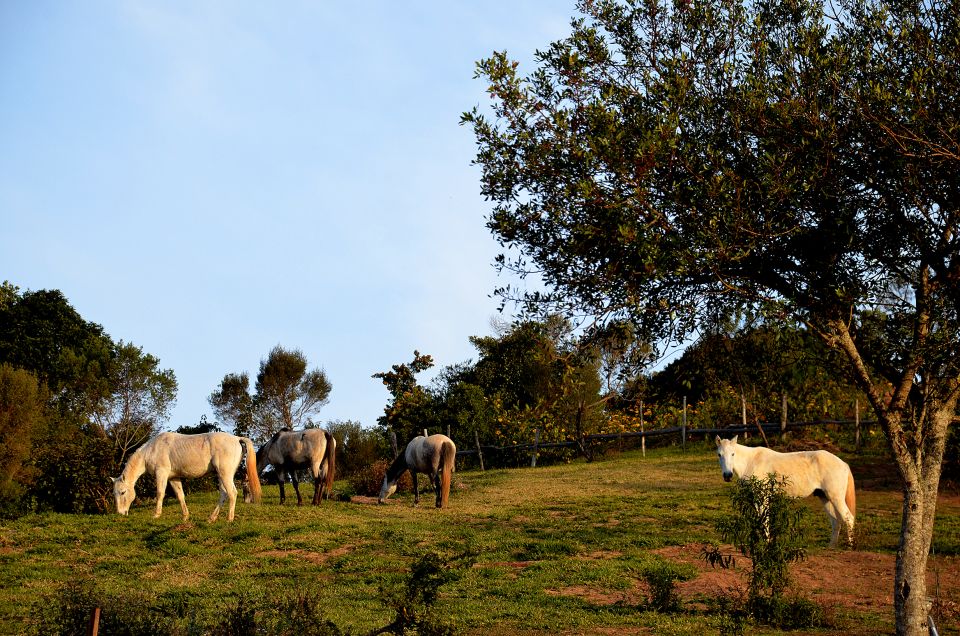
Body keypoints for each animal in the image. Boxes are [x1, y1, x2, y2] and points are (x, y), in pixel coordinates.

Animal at [113, 432, 262, 520]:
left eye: (123, 492)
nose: (120, 513)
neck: (152, 450)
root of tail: (236, 438)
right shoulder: (173, 478)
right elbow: (180, 496)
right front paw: (185, 516)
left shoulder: (161, 473)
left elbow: (160, 493)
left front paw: (156, 514)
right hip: (221, 475)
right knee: (224, 494)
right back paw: (212, 518)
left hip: (225, 474)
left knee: (232, 493)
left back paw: (229, 519)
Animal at [712, 434, 856, 548]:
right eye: (719, 455)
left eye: (733, 454)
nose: (727, 475)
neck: (751, 462)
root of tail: (843, 464)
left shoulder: (762, 497)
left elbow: (764, 520)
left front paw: (767, 543)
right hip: (825, 497)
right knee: (835, 521)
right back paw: (831, 546)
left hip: (835, 497)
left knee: (848, 518)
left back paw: (850, 546)